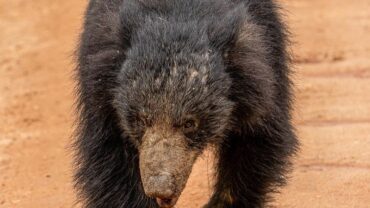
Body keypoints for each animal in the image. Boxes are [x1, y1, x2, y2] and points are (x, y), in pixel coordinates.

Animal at [74, 0, 298, 208]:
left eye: (190, 124)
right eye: (141, 120)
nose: (159, 187)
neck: (177, 17)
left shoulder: (263, 69)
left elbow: (256, 142)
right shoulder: (100, 84)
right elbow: (109, 156)